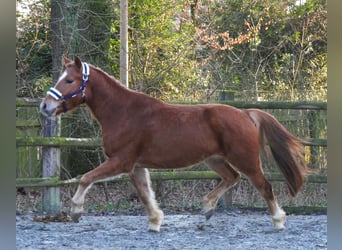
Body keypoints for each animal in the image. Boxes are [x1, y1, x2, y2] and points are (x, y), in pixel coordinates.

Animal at [40, 55, 310, 231]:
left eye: (69, 81)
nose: (45, 106)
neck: (124, 112)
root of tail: (245, 114)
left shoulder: (121, 161)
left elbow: (86, 178)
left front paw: (76, 211)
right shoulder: (136, 166)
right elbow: (145, 194)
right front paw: (155, 221)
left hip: (246, 160)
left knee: (264, 186)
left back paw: (278, 221)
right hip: (215, 159)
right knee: (232, 178)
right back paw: (207, 209)